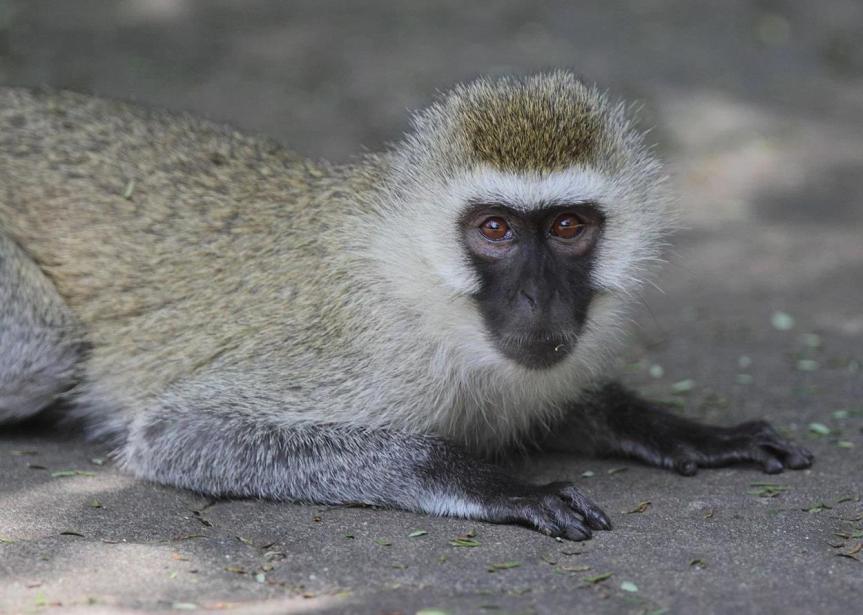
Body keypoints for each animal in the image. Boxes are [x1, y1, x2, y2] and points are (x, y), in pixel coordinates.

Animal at [0, 72, 813, 541]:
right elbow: (182, 432)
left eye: (567, 227)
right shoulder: (366, 353)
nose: (537, 296)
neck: (425, 291)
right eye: (494, 229)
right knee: (46, 352)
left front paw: (674, 426)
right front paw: (490, 482)